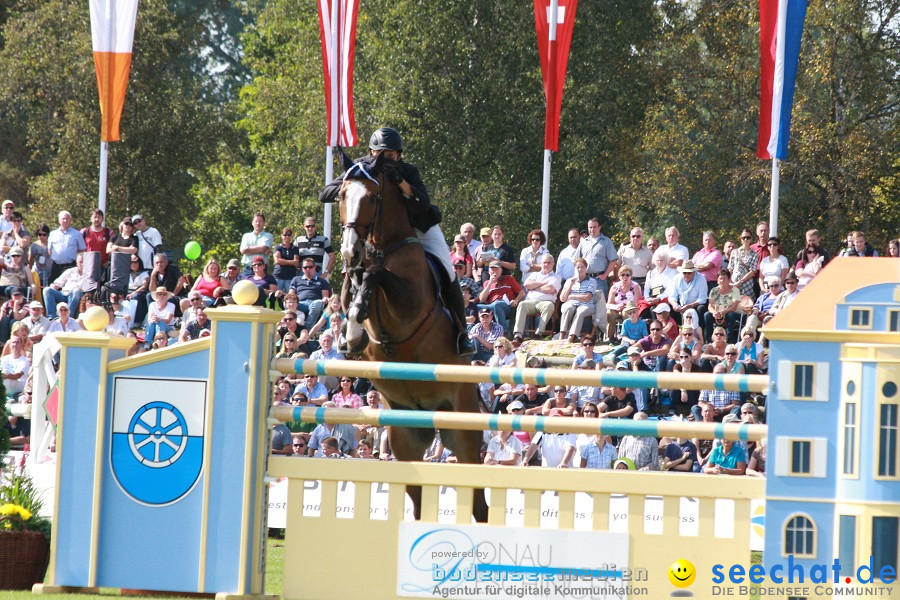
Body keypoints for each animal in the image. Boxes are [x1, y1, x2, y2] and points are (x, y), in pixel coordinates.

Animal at [334, 152, 486, 524]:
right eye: (342, 195)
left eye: (373, 198)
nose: (349, 251)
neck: (383, 247)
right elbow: (354, 285)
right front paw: (353, 329)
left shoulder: (409, 303)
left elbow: (376, 276)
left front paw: (359, 308)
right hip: (405, 435)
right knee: (418, 501)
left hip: (462, 430)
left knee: (478, 503)